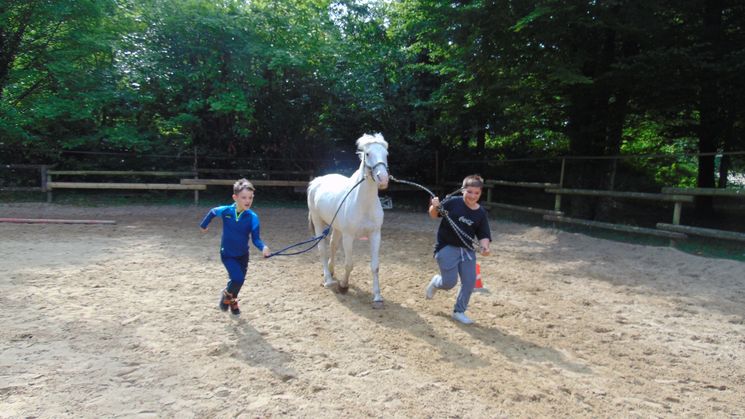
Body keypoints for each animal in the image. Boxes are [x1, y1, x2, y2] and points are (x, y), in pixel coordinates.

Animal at [307, 133, 390, 308]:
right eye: (368, 154)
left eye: (386, 154)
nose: (383, 179)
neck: (363, 203)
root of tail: (315, 182)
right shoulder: (348, 236)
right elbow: (349, 264)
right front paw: (343, 286)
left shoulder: (375, 235)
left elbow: (375, 266)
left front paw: (377, 297)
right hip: (318, 223)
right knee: (322, 249)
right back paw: (328, 280)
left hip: (336, 227)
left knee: (332, 245)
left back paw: (331, 270)